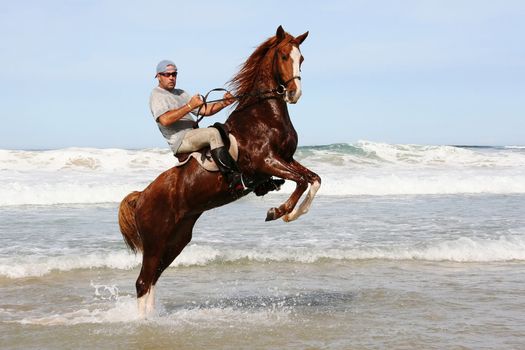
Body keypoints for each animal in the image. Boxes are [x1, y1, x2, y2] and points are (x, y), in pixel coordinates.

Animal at [119, 26, 322, 318]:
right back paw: (144, 320)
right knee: (143, 281)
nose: (294, 94)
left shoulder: (286, 159)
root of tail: (141, 197)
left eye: (301, 58)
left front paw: (290, 213)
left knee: (152, 278)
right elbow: (303, 181)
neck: (263, 114)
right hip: (156, 240)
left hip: (177, 239)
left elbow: (313, 179)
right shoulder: (266, 161)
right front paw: (279, 211)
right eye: (284, 56)